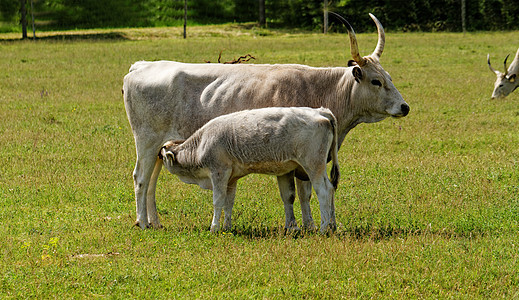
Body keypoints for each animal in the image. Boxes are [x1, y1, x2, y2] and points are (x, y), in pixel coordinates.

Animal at [158, 106, 342, 233]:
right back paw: (332, 225)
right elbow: (228, 202)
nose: (158, 155)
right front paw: (227, 227)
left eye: (162, 155)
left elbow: (218, 201)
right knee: (332, 189)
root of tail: (321, 112)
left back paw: (324, 228)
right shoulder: (231, 179)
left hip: (314, 166)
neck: (202, 143)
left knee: (324, 190)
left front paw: (214, 227)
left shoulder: (218, 173)